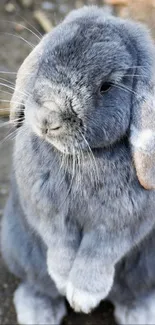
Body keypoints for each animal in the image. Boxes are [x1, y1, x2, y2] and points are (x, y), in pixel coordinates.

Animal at [1, 5, 155, 324]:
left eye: (106, 87)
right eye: (45, 59)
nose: (48, 119)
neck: (81, 157)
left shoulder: (121, 225)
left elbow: (99, 252)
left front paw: (83, 298)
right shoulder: (47, 211)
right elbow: (60, 243)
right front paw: (64, 281)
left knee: (133, 293)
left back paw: (140, 314)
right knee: (37, 285)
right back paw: (39, 313)